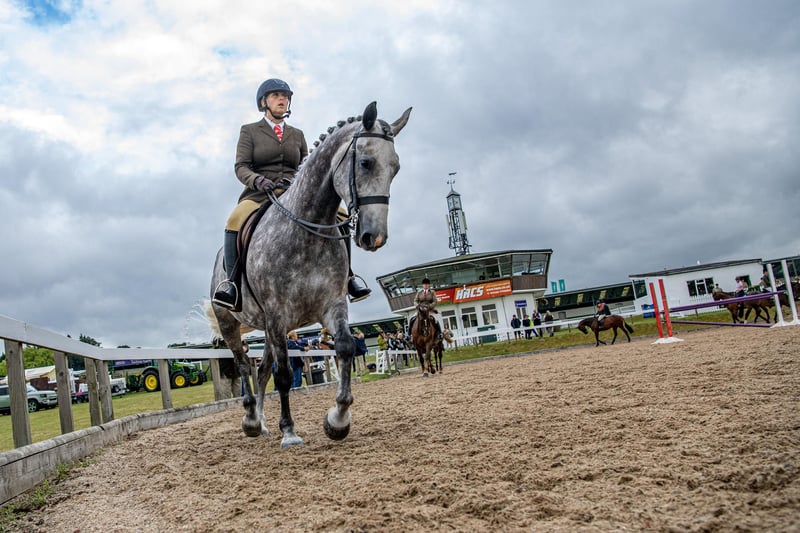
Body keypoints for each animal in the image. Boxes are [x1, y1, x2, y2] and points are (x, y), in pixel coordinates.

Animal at [209, 102, 412, 446]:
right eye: (366, 162)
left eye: (396, 168)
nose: (374, 237)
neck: (306, 231)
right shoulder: (278, 315)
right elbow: (284, 375)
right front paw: (289, 431)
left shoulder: (332, 306)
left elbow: (344, 348)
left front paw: (338, 420)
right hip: (231, 322)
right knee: (242, 363)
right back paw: (251, 420)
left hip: (267, 329)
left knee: (260, 369)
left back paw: (262, 422)